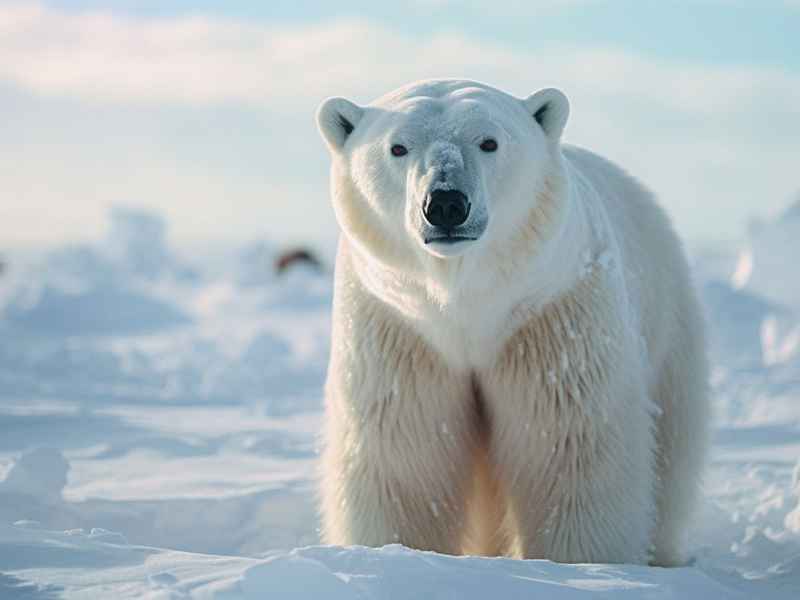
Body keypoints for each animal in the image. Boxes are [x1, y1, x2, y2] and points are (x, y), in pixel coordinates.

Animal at [315, 79, 709, 566]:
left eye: (489, 141)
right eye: (397, 147)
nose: (445, 203)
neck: (466, 306)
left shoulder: (552, 316)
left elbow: (569, 444)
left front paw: (583, 562)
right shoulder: (401, 329)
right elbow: (403, 449)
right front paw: (398, 553)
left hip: (667, 324)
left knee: (672, 453)